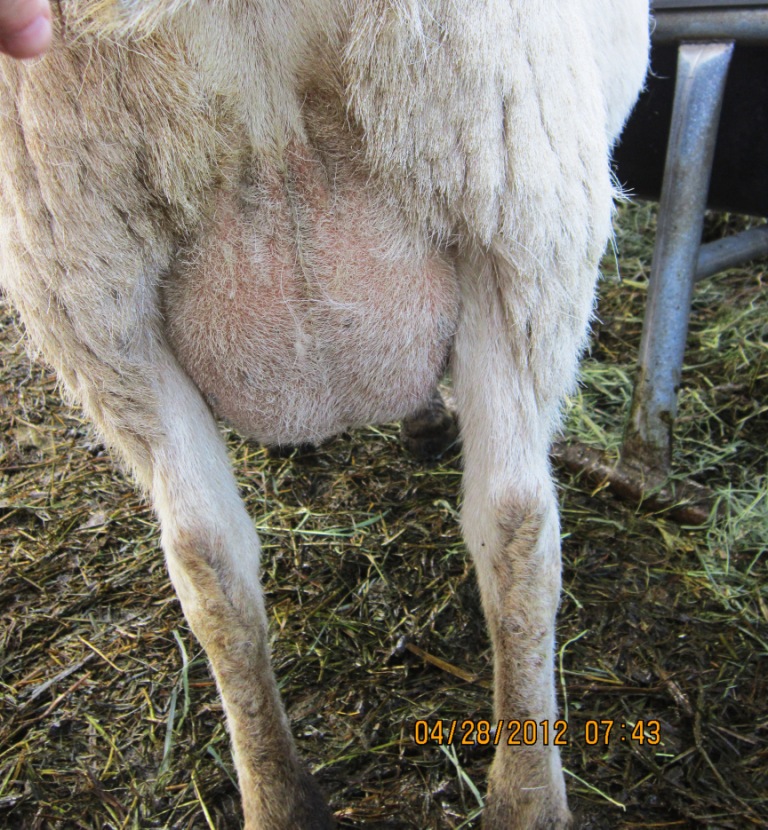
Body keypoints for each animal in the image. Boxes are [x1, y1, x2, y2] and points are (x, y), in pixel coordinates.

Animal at [0, 1, 650, 827]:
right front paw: (425, 420)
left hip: (83, 274)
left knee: (206, 557)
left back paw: (280, 797)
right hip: (518, 191)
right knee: (518, 522)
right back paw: (527, 796)